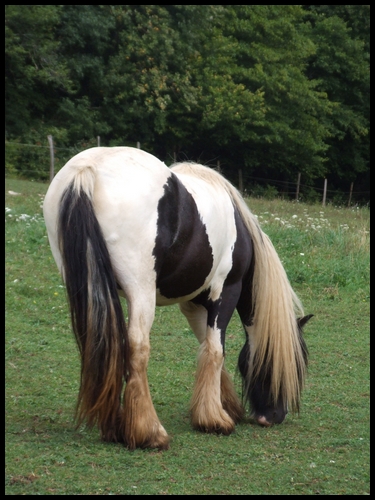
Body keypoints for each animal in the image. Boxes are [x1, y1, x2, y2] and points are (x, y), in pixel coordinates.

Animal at [42, 146, 312, 450]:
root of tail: (88, 170)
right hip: (141, 291)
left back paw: (114, 428)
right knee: (136, 348)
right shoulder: (226, 291)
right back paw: (149, 432)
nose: (274, 416)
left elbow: (206, 348)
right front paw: (215, 420)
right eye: (297, 365)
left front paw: (224, 406)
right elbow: (216, 350)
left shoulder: (192, 303)